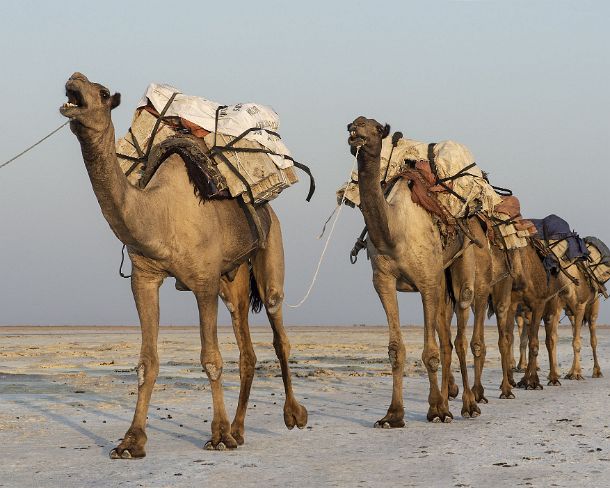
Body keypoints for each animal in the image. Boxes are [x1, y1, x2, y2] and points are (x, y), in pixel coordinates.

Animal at [59, 72, 306, 458]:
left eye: (101, 92)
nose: (74, 78)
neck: (160, 213)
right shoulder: (144, 278)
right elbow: (147, 362)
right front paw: (130, 442)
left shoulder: (203, 281)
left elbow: (211, 358)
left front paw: (218, 436)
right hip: (232, 280)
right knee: (247, 350)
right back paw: (239, 430)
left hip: (270, 252)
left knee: (278, 328)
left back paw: (292, 415)